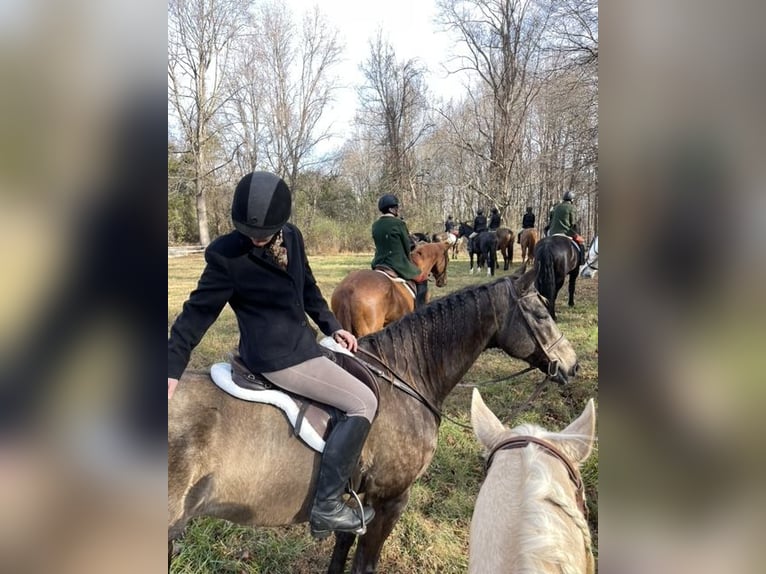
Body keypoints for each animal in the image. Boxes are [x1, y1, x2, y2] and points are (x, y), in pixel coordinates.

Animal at [166, 270, 576, 574]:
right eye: (542, 314)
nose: (572, 365)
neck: (405, 376)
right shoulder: (390, 500)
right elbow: (366, 563)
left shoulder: (356, 500)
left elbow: (342, 548)